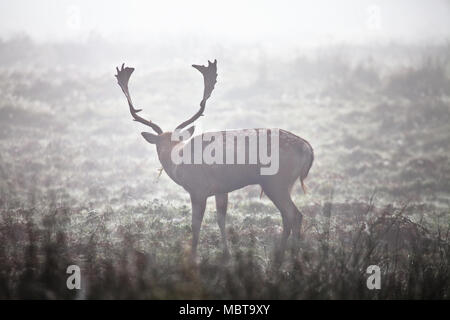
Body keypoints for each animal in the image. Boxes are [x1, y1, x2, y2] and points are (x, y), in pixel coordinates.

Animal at [115, 60, 312, 262]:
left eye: (175, 141)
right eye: (159, 143)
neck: (179, 161)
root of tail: (307, 148)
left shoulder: (198, 189)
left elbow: (195, 224)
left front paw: (193, 256)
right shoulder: (221, 189)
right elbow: (220, 219)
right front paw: (226, 253)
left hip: (276, 181)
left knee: (294, 215)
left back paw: (289, 256)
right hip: (283, 184)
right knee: (288, 217)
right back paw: (284, 255)